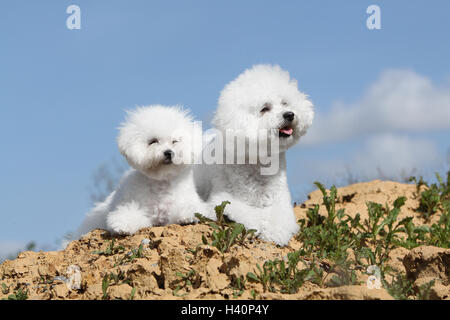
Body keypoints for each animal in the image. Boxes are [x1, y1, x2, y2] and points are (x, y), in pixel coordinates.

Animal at [195, 63, 314, 246]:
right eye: (265, 108)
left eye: (285, 103)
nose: (290, 114)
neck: (258, 161)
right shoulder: (224, 199)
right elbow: (250, 214)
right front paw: (261, 225)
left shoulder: (280, 201)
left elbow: (280, 218)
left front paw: (276, 232)